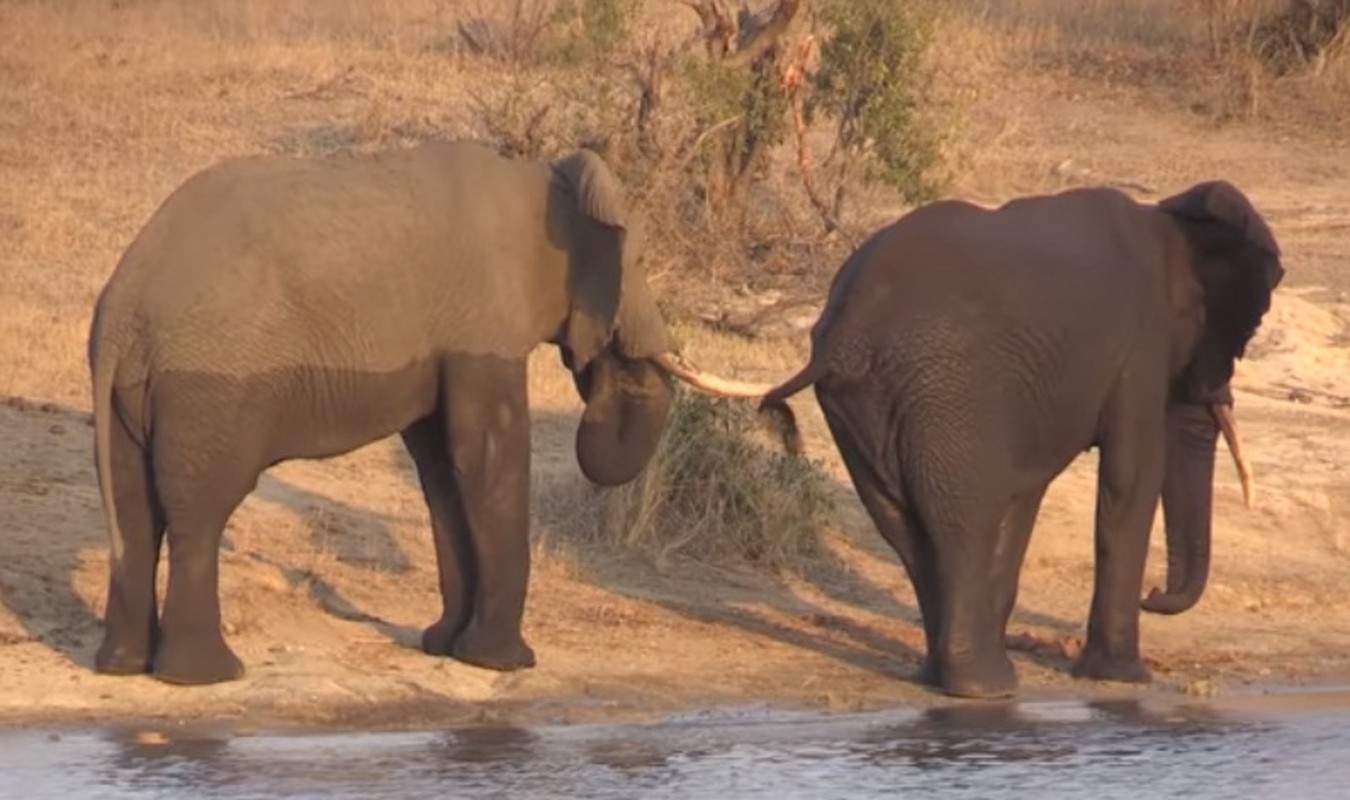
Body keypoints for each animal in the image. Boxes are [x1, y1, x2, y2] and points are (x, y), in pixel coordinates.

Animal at [766, 180, 1279, 701]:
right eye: (1248, 325)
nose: (1153, 595)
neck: (1171, 220)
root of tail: (847, 325)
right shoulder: (1140, 344)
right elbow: (1132, 476)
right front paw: (1124, 677)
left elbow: (1025, 494)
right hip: (948, 391)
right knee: (965, 519)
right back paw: (986, 688)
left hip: (870, 402)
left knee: (903, 523)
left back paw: (948, 678)